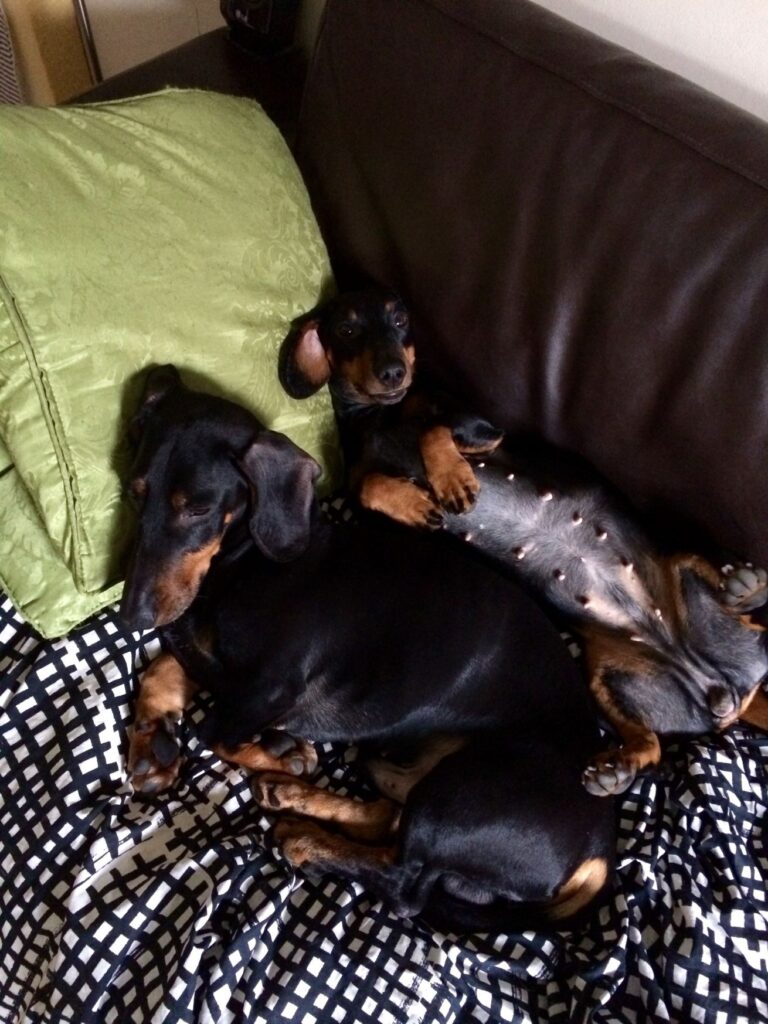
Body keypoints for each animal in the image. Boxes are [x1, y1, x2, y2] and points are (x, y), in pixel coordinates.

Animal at [120, 366, 618, 937]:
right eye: (135, 493)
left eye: (198, 508)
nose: (130, 616)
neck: (242, 563)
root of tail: (600, 846)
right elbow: (164, 665)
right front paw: (152, 743)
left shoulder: (272, 685)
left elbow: (215, 732)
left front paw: (281, 754)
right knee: (389, 817)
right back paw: (294, 798)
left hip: (463, 794)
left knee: (403, 882)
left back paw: (303, 836)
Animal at [280, 286, 768, 798]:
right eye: (348, 328)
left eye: (400, 320)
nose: (395, 371)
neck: (382, 416)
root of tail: (724, 690)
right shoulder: (364, 485)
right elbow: (369, 484)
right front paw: (413, 501)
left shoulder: (481, 429)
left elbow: (434, 429)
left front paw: (451, 479)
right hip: (605, 677)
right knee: (650, 745)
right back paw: (618, 767)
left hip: (685, 568)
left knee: (729, 590)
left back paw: (745, 588)